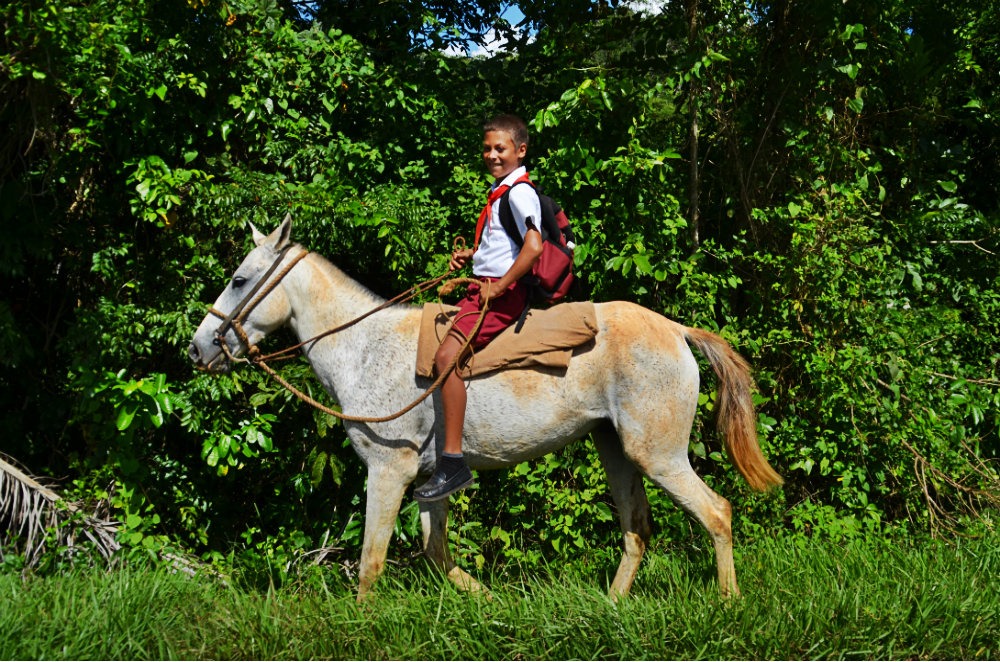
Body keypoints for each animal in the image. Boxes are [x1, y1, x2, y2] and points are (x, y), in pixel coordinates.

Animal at [188, 222, 780, 600]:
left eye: (240, 279)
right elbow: (435, 552)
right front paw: (490, 603)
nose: (198, 349)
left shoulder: (388, 472)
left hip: (658, 454)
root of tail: (678, 330)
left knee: (717, 512)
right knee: (637, 529)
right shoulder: (429, 481)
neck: (363, 347)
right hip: (616, 450)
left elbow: (371, 562)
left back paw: (728, 602)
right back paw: (612, 607)